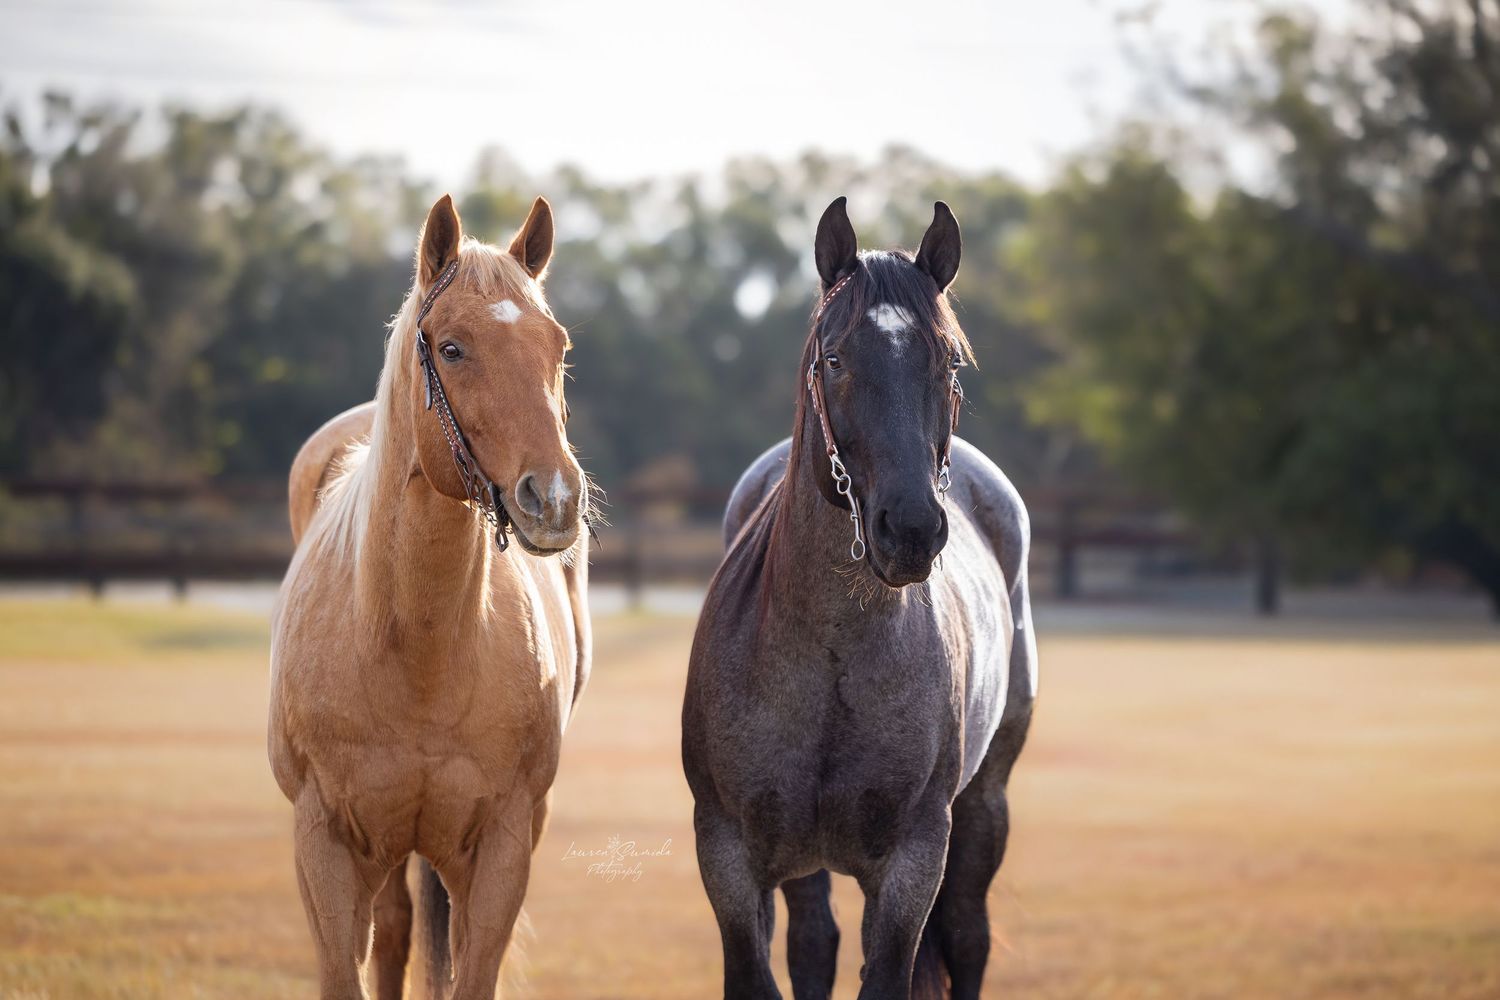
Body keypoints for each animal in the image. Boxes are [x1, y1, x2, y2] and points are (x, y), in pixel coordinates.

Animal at [270, 193, 592, 1000]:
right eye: (451, 348)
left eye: (558, 347)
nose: (554, 500)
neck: (415, 651)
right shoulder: (325, 846)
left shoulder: (503, 846)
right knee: (393, 935)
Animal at [682, 197, 1037, 1000]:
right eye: (835, 359)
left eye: (949, 361)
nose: (910, 528)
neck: (832, 655)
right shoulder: (729, 857)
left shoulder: (912, 863)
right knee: (815, 941)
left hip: (983, 806)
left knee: (967, 937)